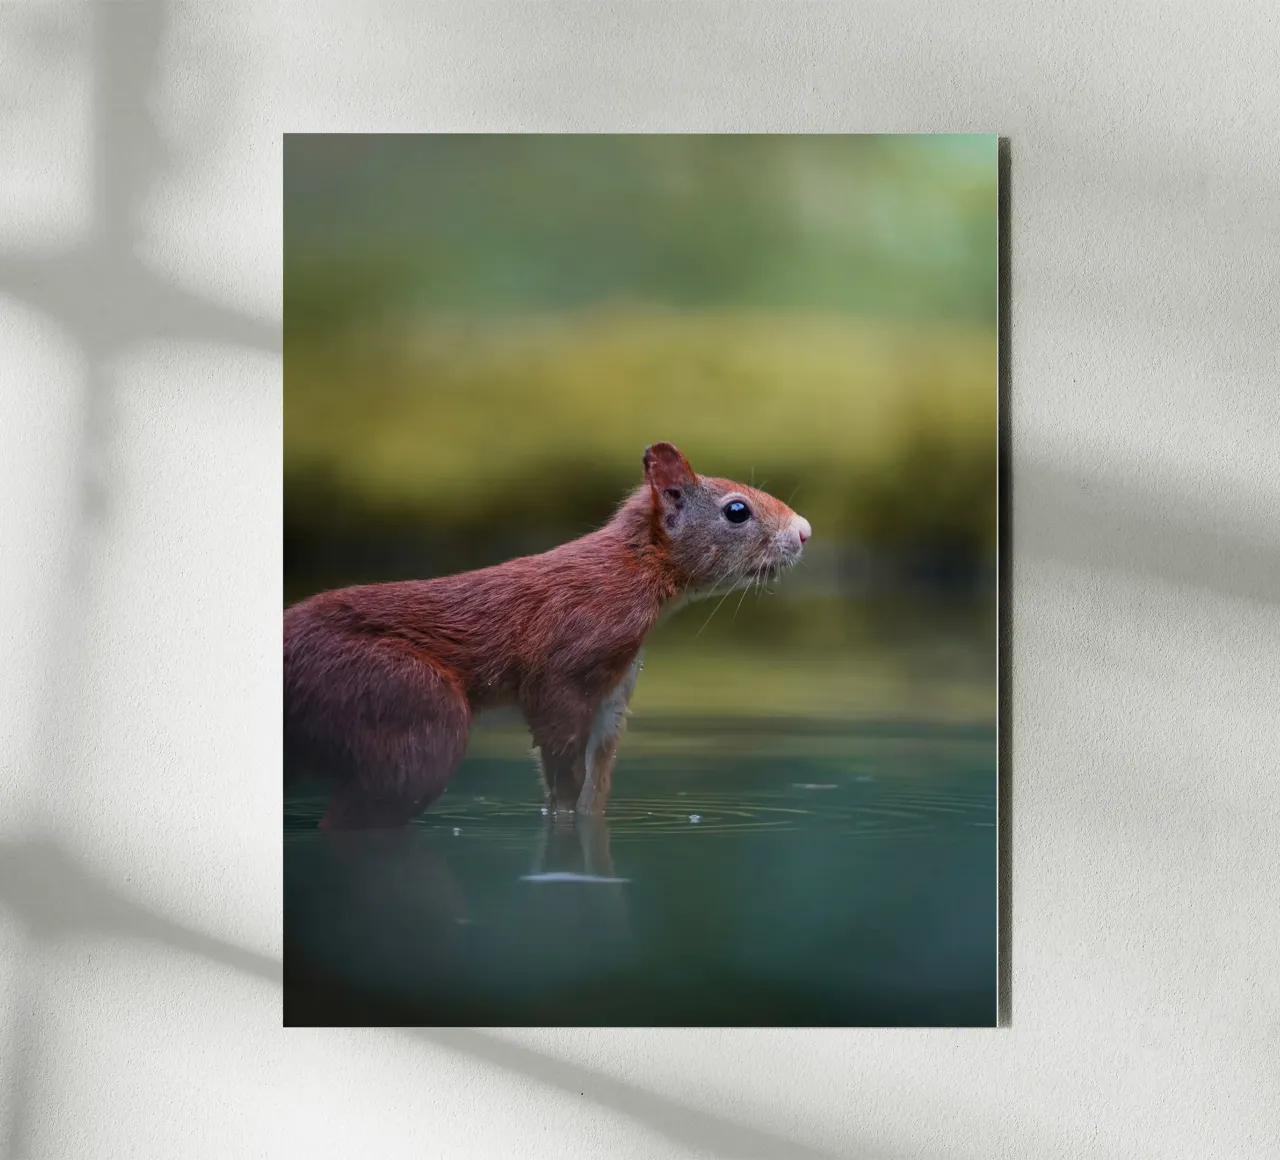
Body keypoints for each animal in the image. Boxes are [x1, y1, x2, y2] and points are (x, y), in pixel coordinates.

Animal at [283, 442, 811, 830]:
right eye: (737, 511)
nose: (805, 532)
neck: (634, 570)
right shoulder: (567, 660)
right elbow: (562, 763)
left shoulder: (614, 691)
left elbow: (595, 784)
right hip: (403, 701)